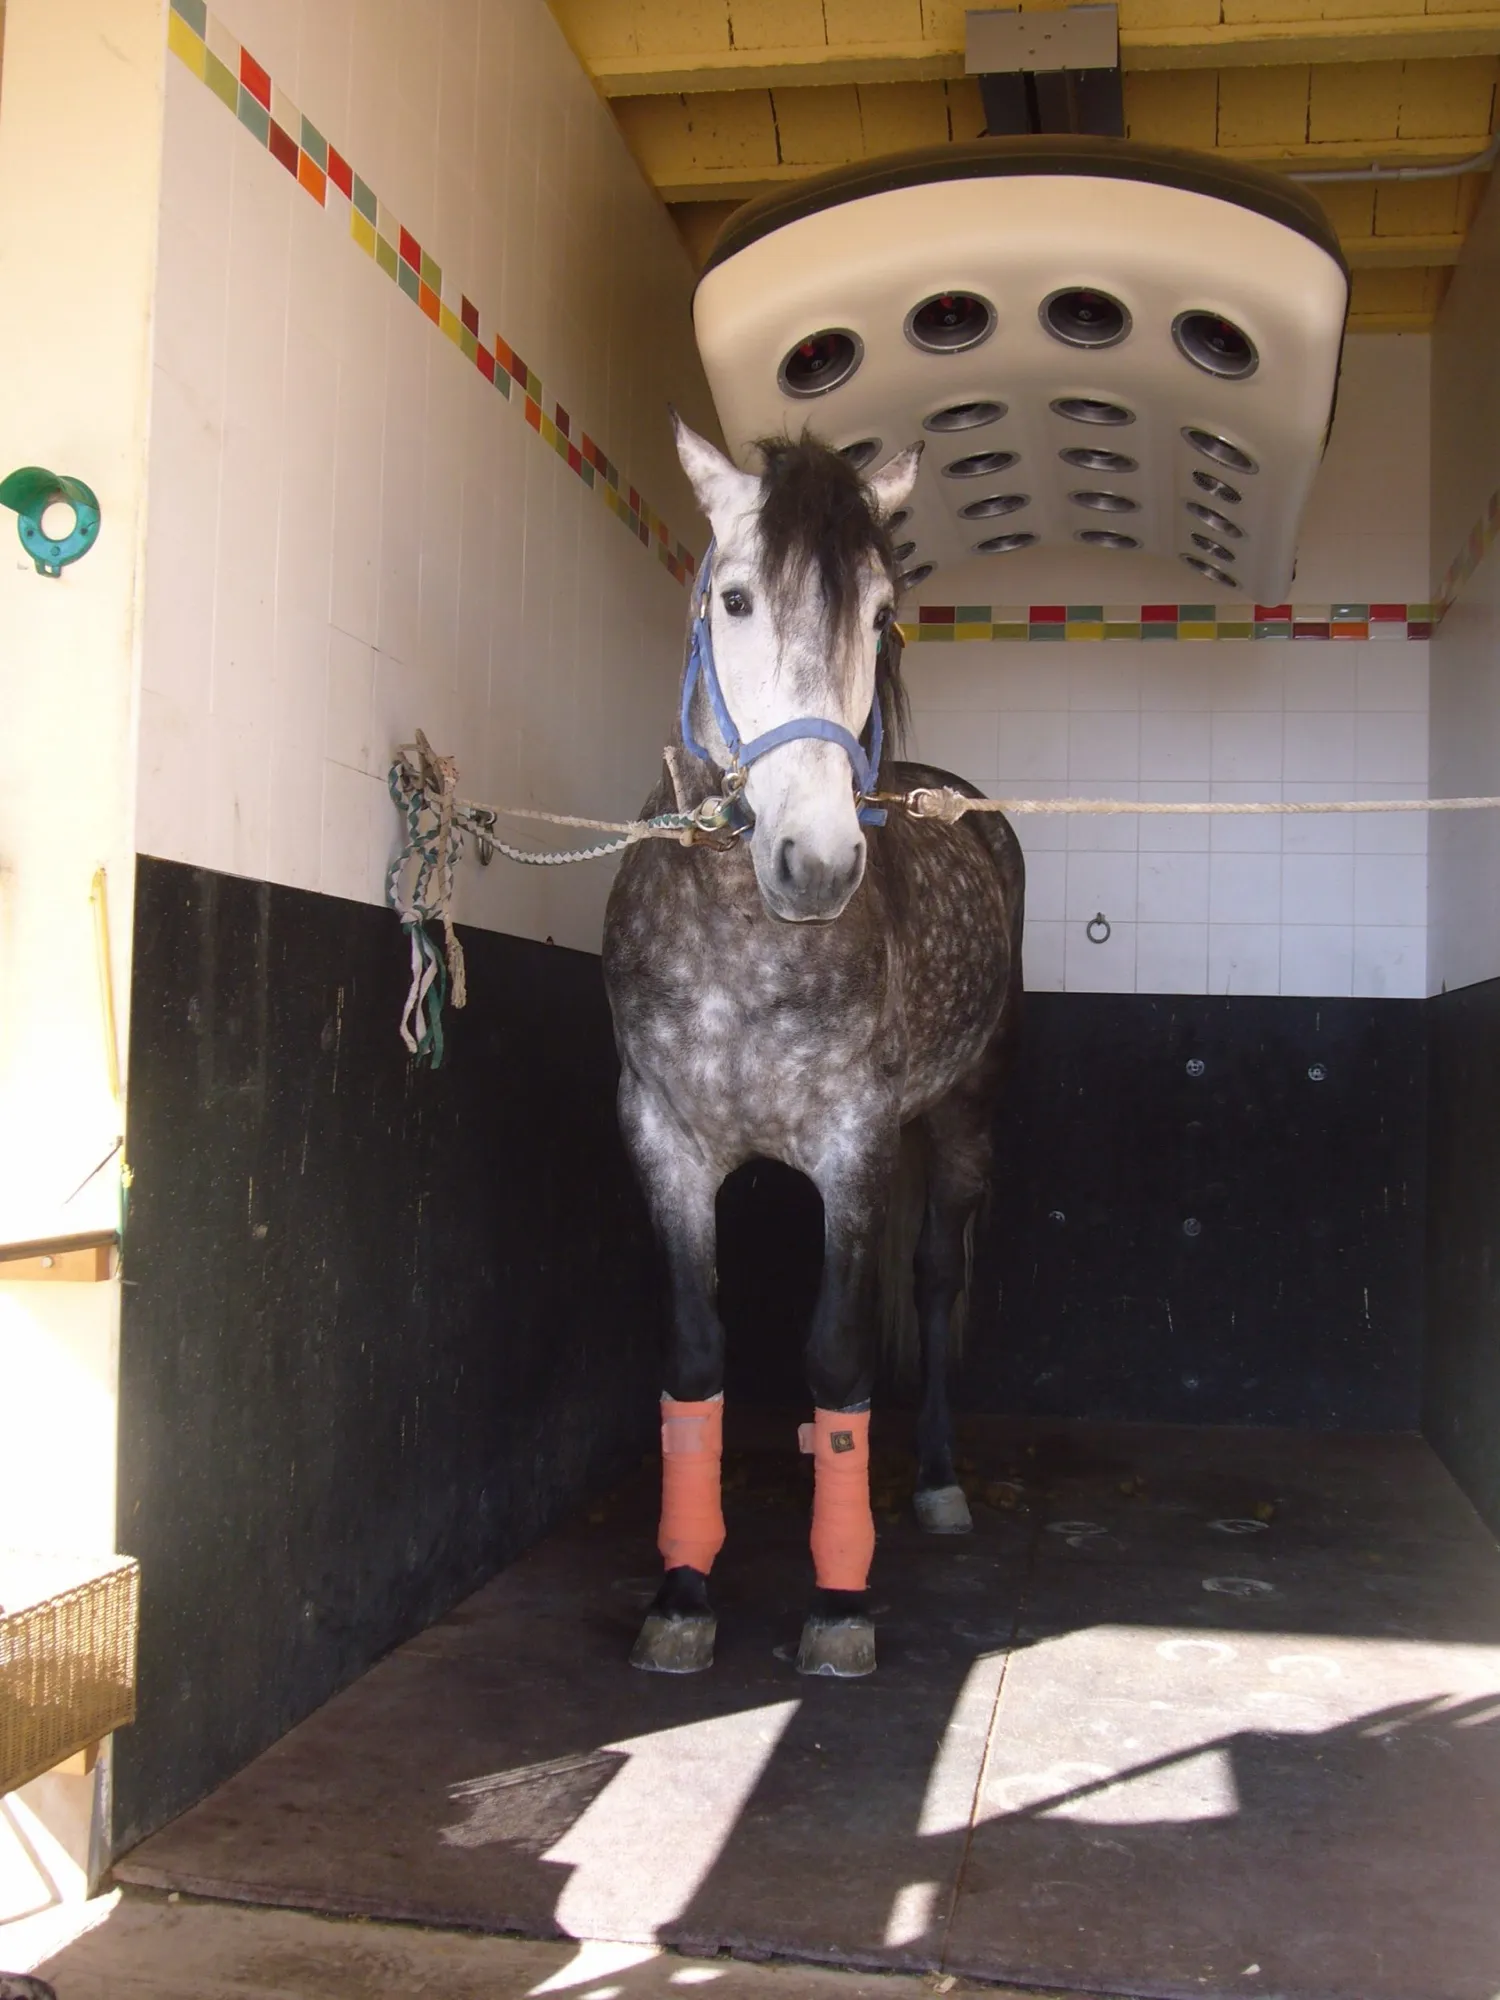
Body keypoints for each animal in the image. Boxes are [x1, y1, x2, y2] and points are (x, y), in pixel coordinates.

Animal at [601, 417, 1024, 1678]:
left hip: (961, 1120)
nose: (818, 861)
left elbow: (837, 1361)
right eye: (736, 598)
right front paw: (684, 1587)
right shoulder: (663, 1142)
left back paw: (934, 1481)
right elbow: (694, 1358)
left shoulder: (856, 1147)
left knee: (932, 1283)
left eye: (879, 617)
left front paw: (839, 1600)